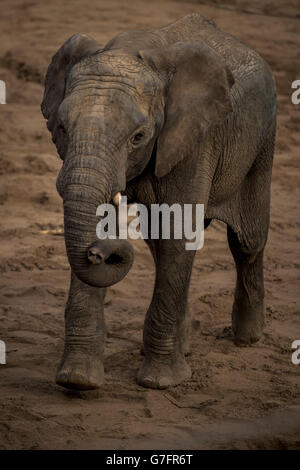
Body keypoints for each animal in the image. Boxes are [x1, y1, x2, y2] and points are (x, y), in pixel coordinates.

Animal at [41, 13, 276, 390]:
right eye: (61, 127)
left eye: (139, 137)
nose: (98, 253)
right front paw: (77, 381)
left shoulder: (196, 137)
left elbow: (179, 233)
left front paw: (160, 382)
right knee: (158, 242)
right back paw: (187, 347)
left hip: (263, 138)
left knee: (247, 240)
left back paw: (246, 339)